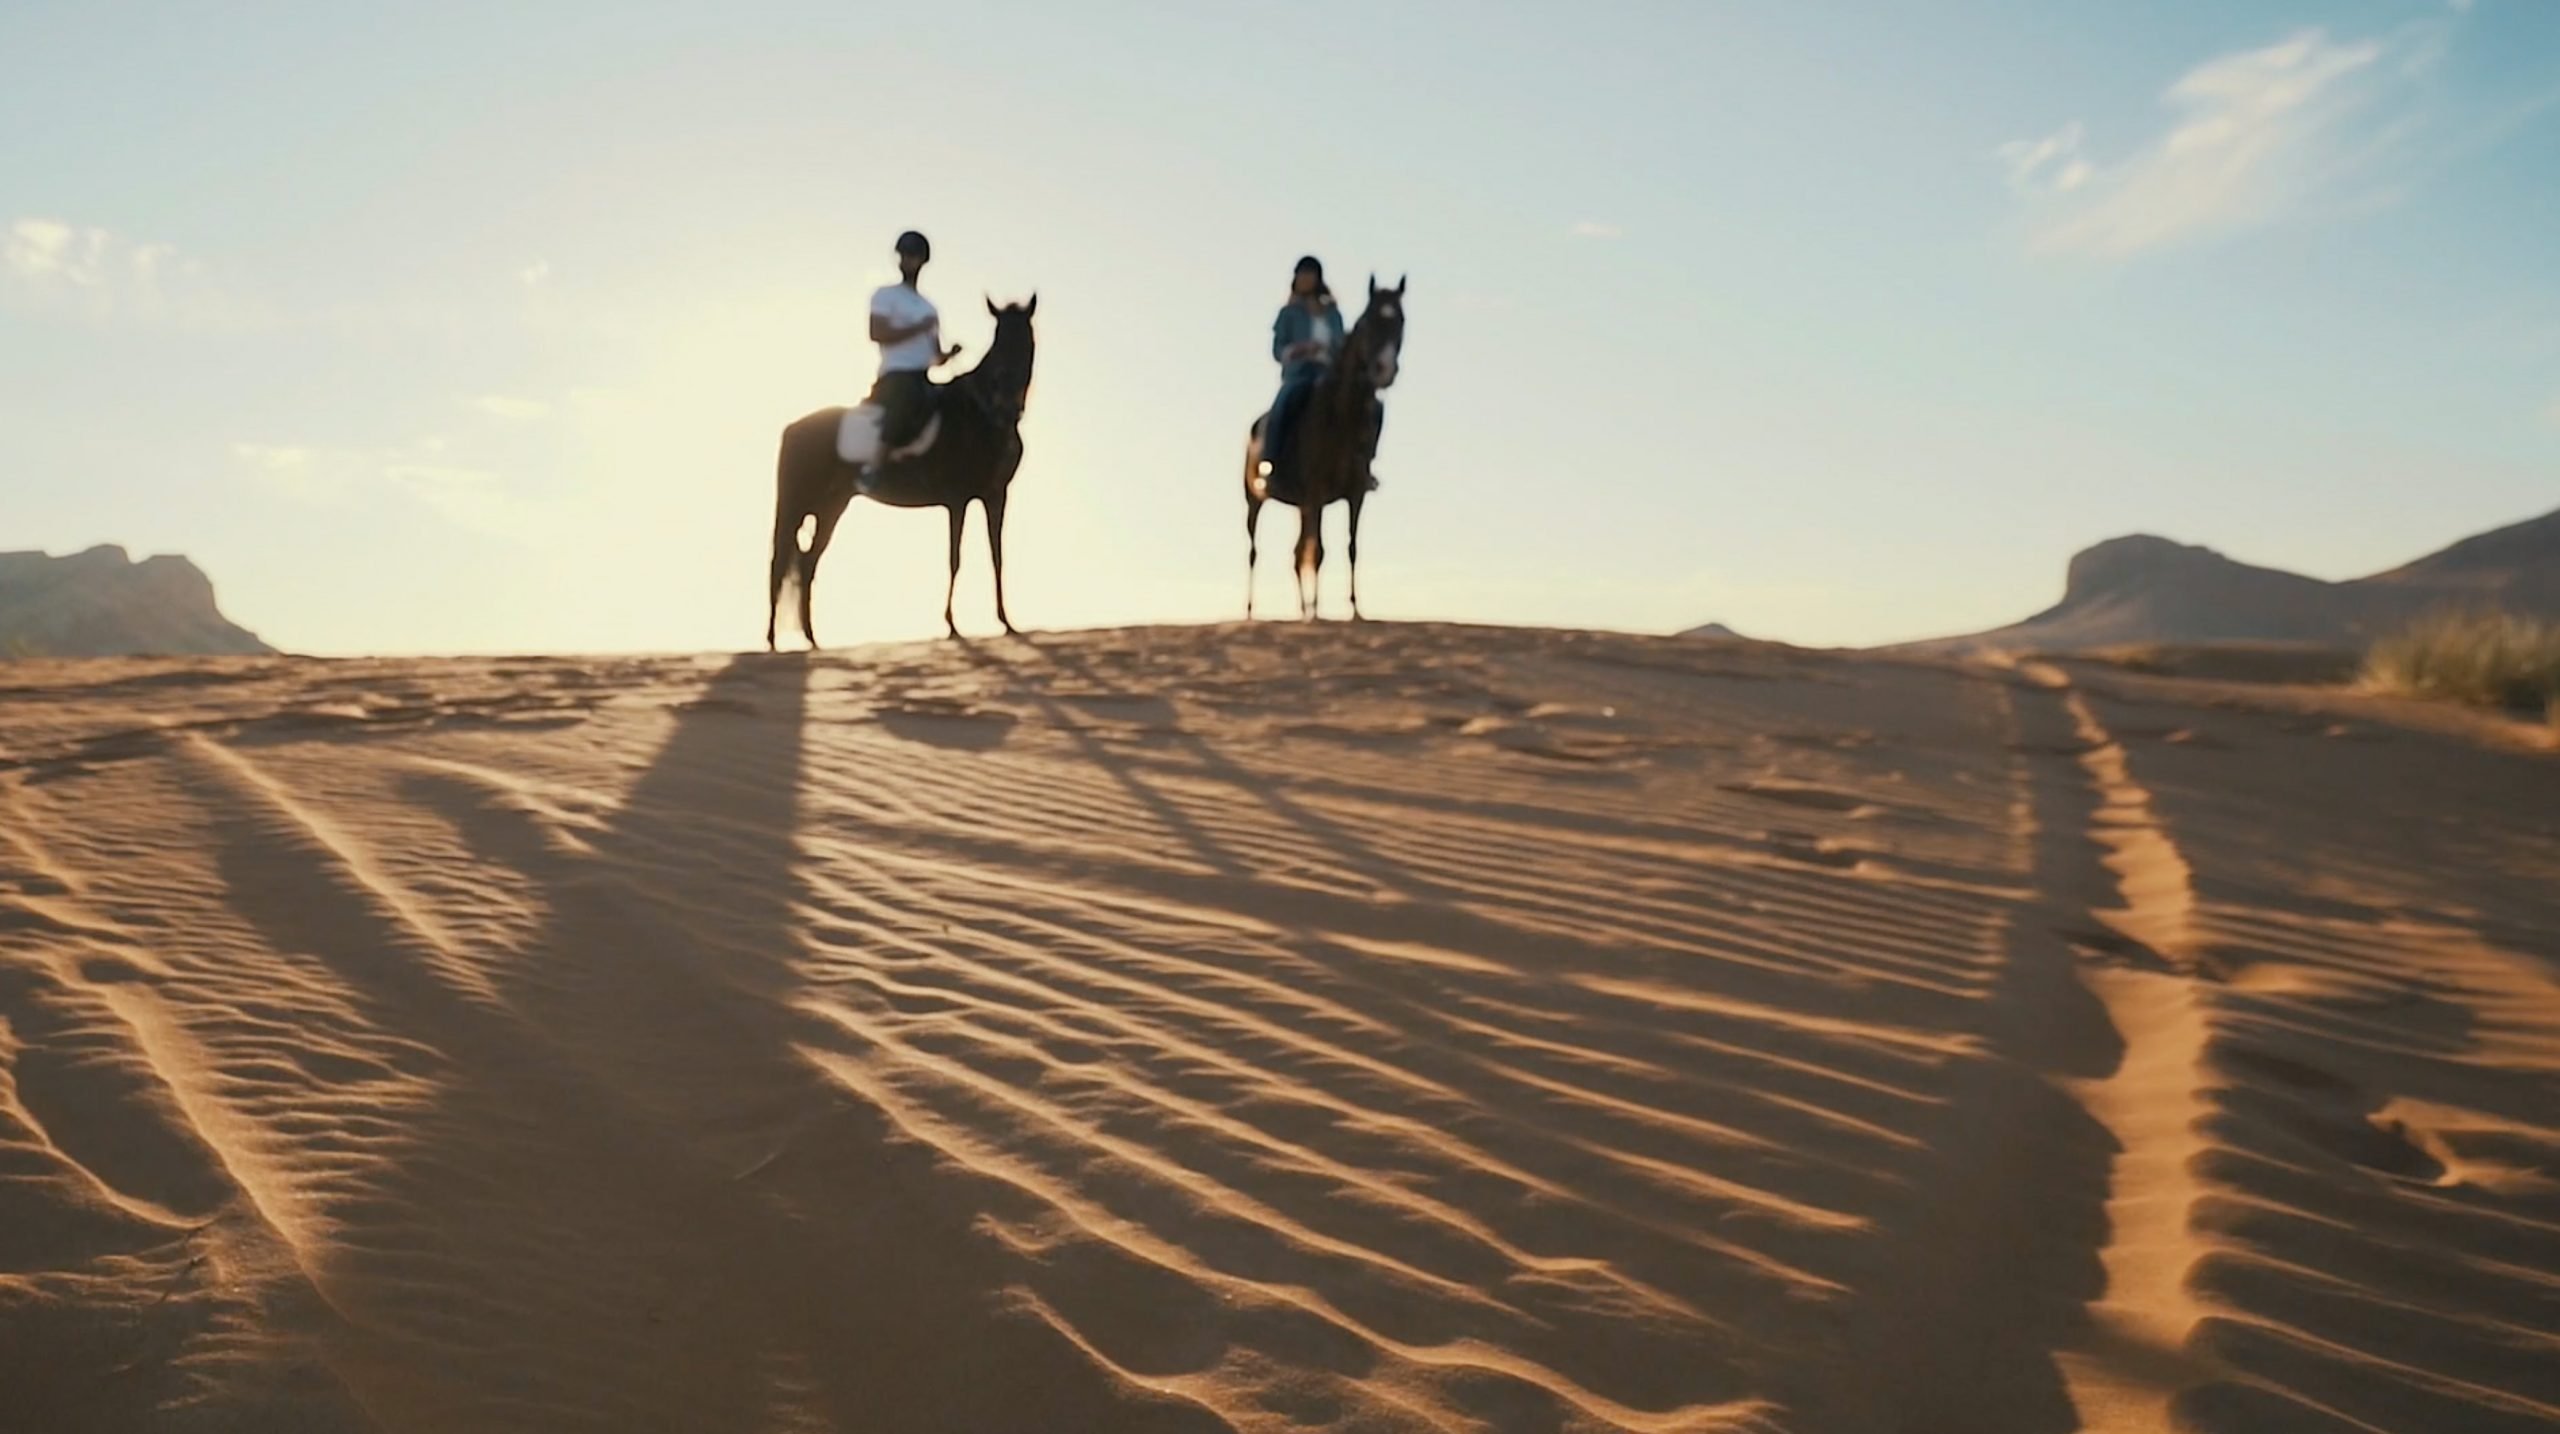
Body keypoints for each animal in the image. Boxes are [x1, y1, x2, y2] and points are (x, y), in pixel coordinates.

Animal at [762, 297, 1034, 645]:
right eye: (1000, 340)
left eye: (1026, 342)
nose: (1009, 406)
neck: (982, 414)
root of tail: (792, 428)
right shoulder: (957, 498)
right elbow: (954, 558)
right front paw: (951, 625)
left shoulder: (995, 495)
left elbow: (997, 557)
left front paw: (1006, 622)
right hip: (794, 504)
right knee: (779, 561)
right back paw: (772, 640)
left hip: (831, 506)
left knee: (808, 562)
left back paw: (812, 639)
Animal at [1233, 277, 1402, 619]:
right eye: (1367, 322)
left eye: (1400, 322)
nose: (1384, 370)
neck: (1340, 417)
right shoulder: (1314, 492)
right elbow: (1319, 551)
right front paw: (1317, 613)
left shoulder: (1353, 494)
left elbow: (1350, 548)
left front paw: (1354, 610)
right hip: (1255, 501)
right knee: (1255, 551)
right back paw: (1253, 610)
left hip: (1302, 506)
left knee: (1298, 552)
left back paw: (1303, 609)